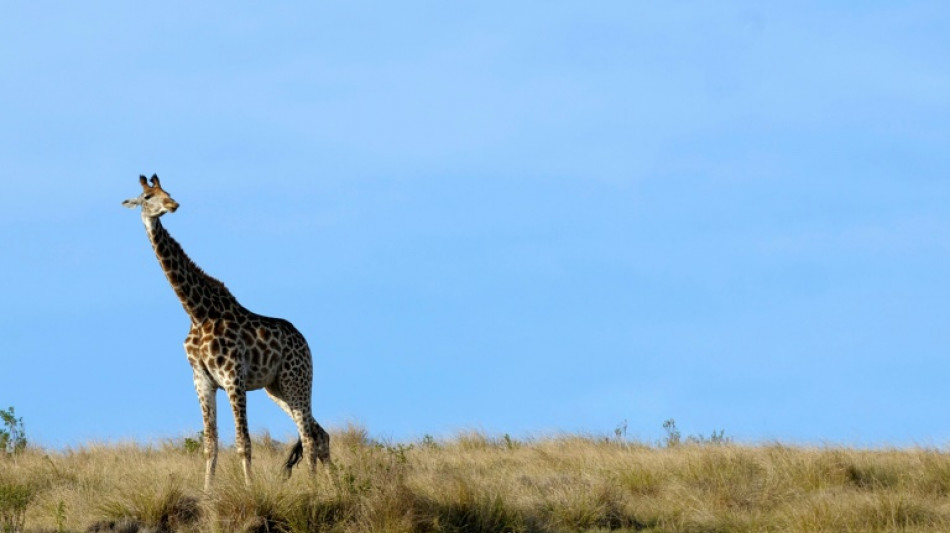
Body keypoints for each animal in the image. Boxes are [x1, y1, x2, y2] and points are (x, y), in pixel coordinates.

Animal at [122, 176, 330, 490]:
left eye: (167, 192)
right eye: (148, 196)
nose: (172, 204)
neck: (197, 312)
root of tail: (304, 341)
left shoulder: (234, 377)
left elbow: (243, 442)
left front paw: (250, 490)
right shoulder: (202, 381)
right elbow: (210, 444)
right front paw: (207, 492)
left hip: (296, 380)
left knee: (307, 435)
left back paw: (317, 488)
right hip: (276, 388)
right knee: (320, 433)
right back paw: (334, 485)